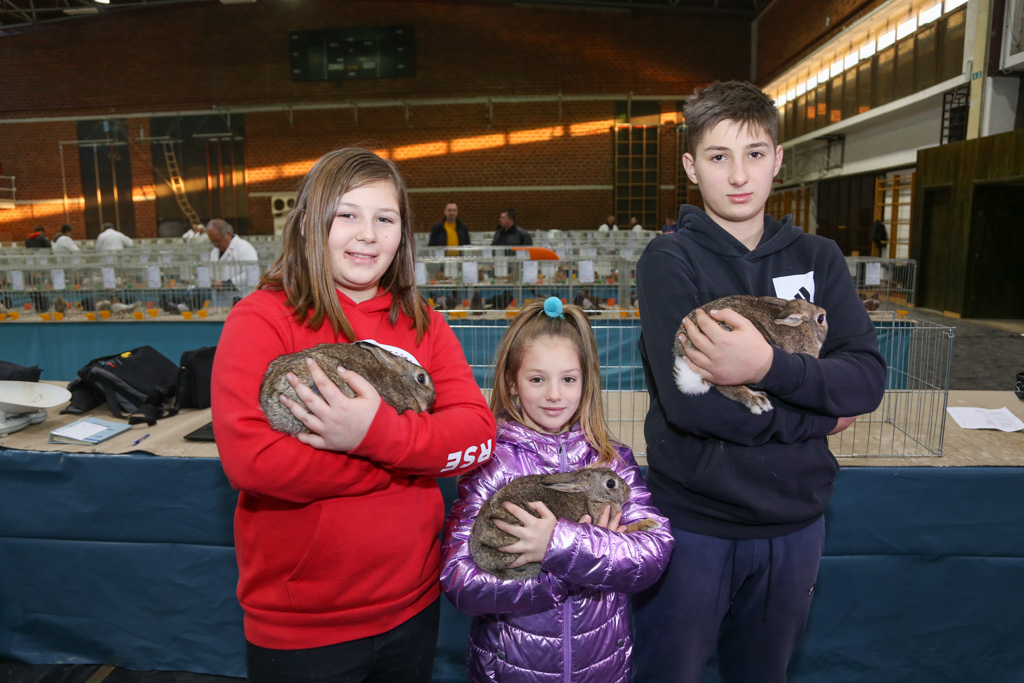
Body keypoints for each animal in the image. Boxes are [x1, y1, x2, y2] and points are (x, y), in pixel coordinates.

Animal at [469, 467, 660, 580]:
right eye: (610, 483)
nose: (629, 491)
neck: (593, 498)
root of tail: (482, 561)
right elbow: (625, 529)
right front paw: (649, 523)